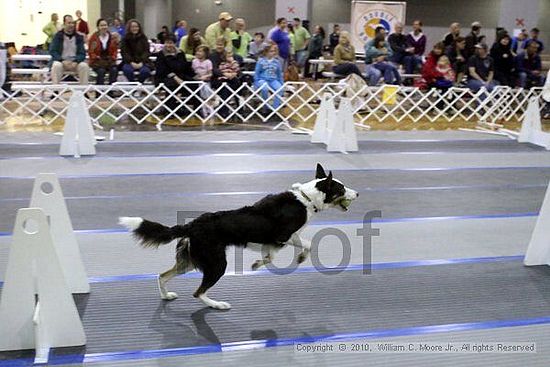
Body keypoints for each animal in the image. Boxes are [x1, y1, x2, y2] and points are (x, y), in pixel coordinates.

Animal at [121, 164, 360, 310]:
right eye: (341, 188)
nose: (357, 193)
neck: (306, 198)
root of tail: (191, 225)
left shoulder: (272, 241)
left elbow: (270, 257)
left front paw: (257, 264)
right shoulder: (284, 235)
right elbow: (308, 244)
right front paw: (300, 258)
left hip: (190, 261)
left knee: (162, 276)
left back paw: (166, 295)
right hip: (217, 263)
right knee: (197, 292)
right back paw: (217, 304)